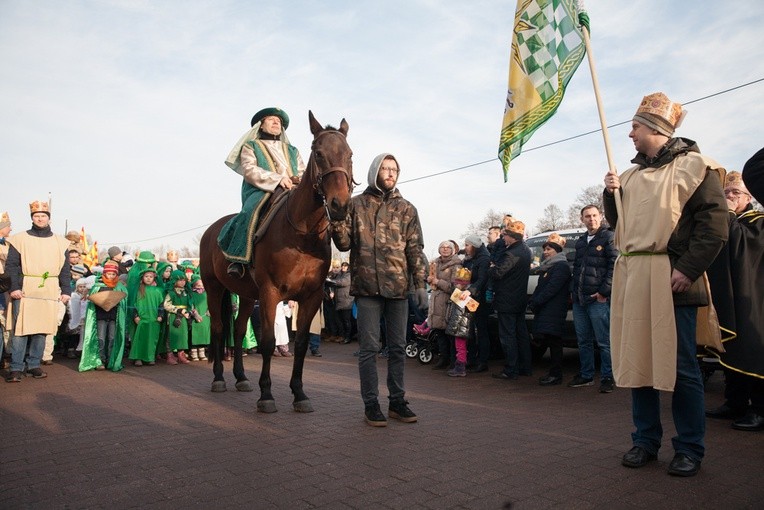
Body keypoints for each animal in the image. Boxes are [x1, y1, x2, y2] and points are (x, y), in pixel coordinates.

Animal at [197, 109, 352, 412]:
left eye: (349, 154)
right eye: (318, 153)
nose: (340, 205)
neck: (301, 235)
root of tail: (211, 231)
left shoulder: (311, 296)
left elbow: (301, 343)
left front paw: (299, 393)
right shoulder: (270, 293)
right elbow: (268, 341)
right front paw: (266, 395)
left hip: (246, 296)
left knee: (237, 329)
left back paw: (241, 377)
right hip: (213, 288)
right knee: (219, 329)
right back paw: (219, 379)